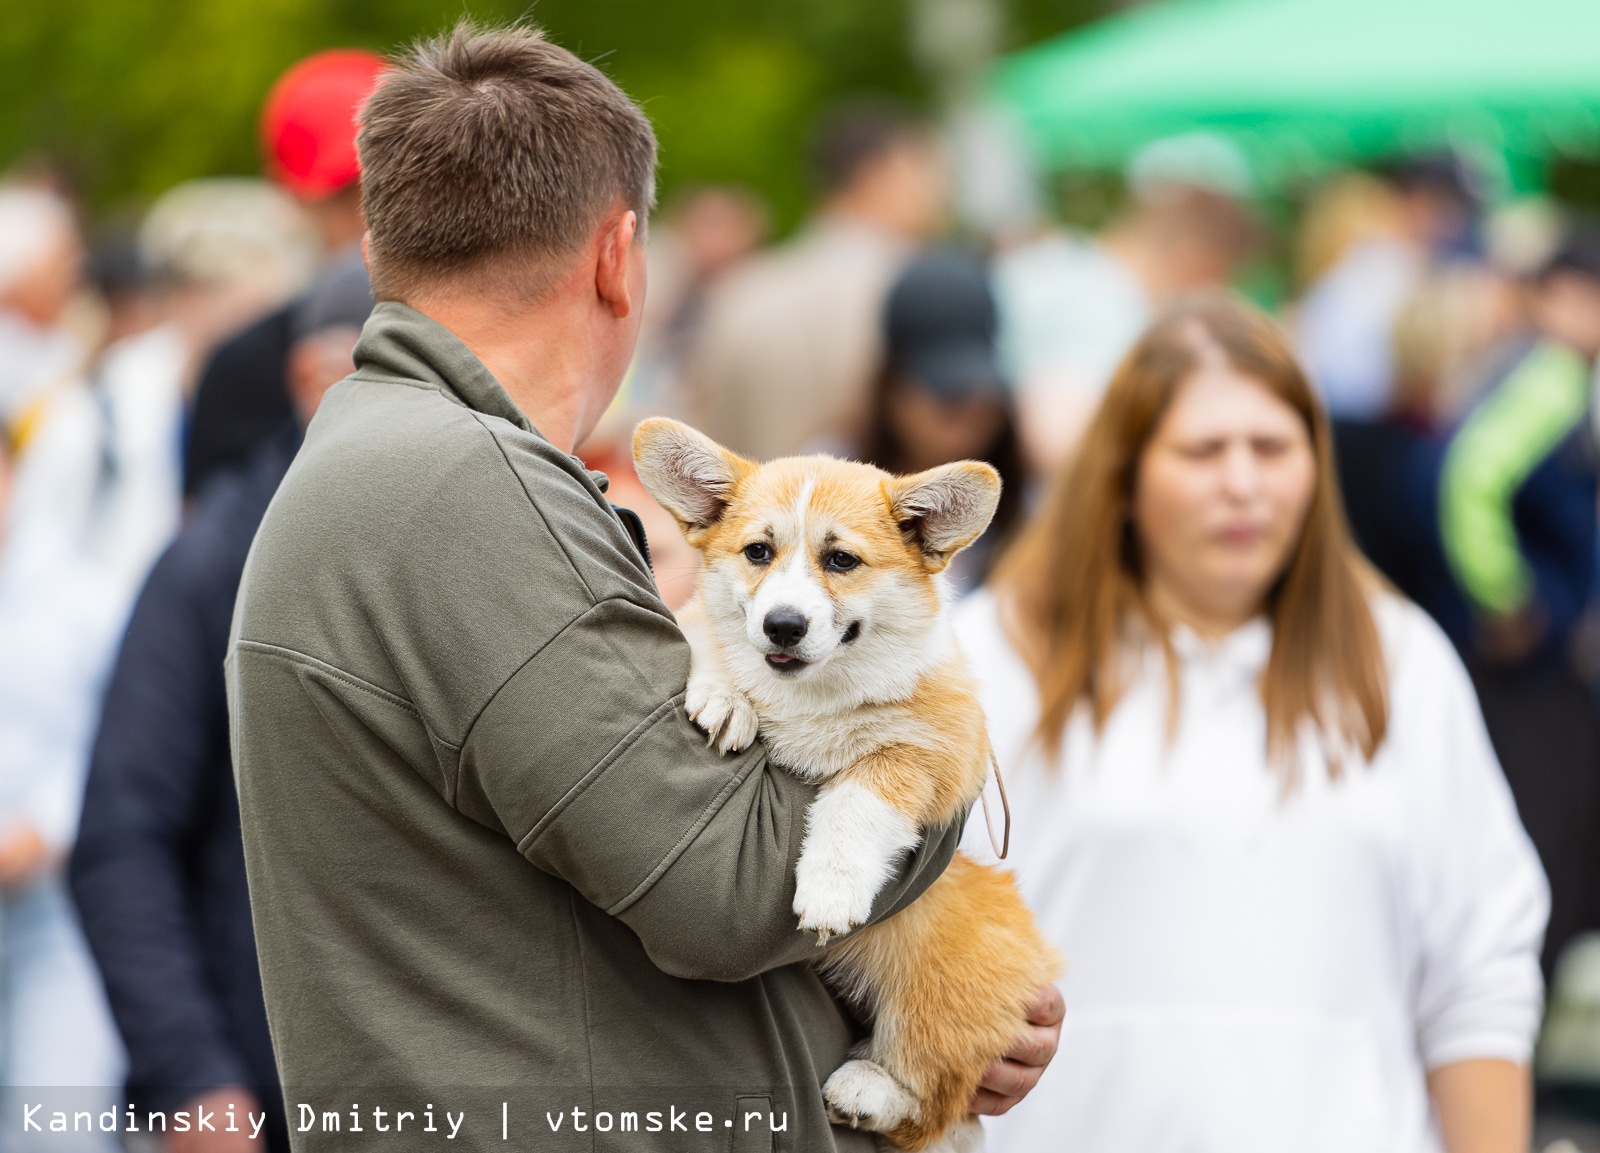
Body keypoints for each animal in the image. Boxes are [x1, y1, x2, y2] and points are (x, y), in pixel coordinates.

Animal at [633, 418, 1062, 1151]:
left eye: (841, 561)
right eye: (758, 551)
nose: (782, 625)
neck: (810, 693)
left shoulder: (932, 750)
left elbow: (859, 798)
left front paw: (830, 891)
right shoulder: (702, 625)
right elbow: (703, 637)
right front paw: (725, 696)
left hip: (942, 967)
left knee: (937, 1098)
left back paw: (869, 1090)